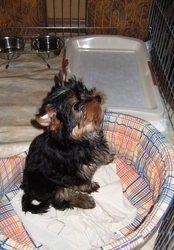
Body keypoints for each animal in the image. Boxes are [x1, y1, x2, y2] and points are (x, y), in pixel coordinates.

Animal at [21, 73, 114, 214]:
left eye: (84, 90)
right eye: (75, 106)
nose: (97, 98)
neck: (81, 137)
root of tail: (28, 191)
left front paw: (107, 158)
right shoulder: (72, 174)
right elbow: (81, 183)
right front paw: (90, 186)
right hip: (49, 185)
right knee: (61, 197)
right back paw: (84, 201)